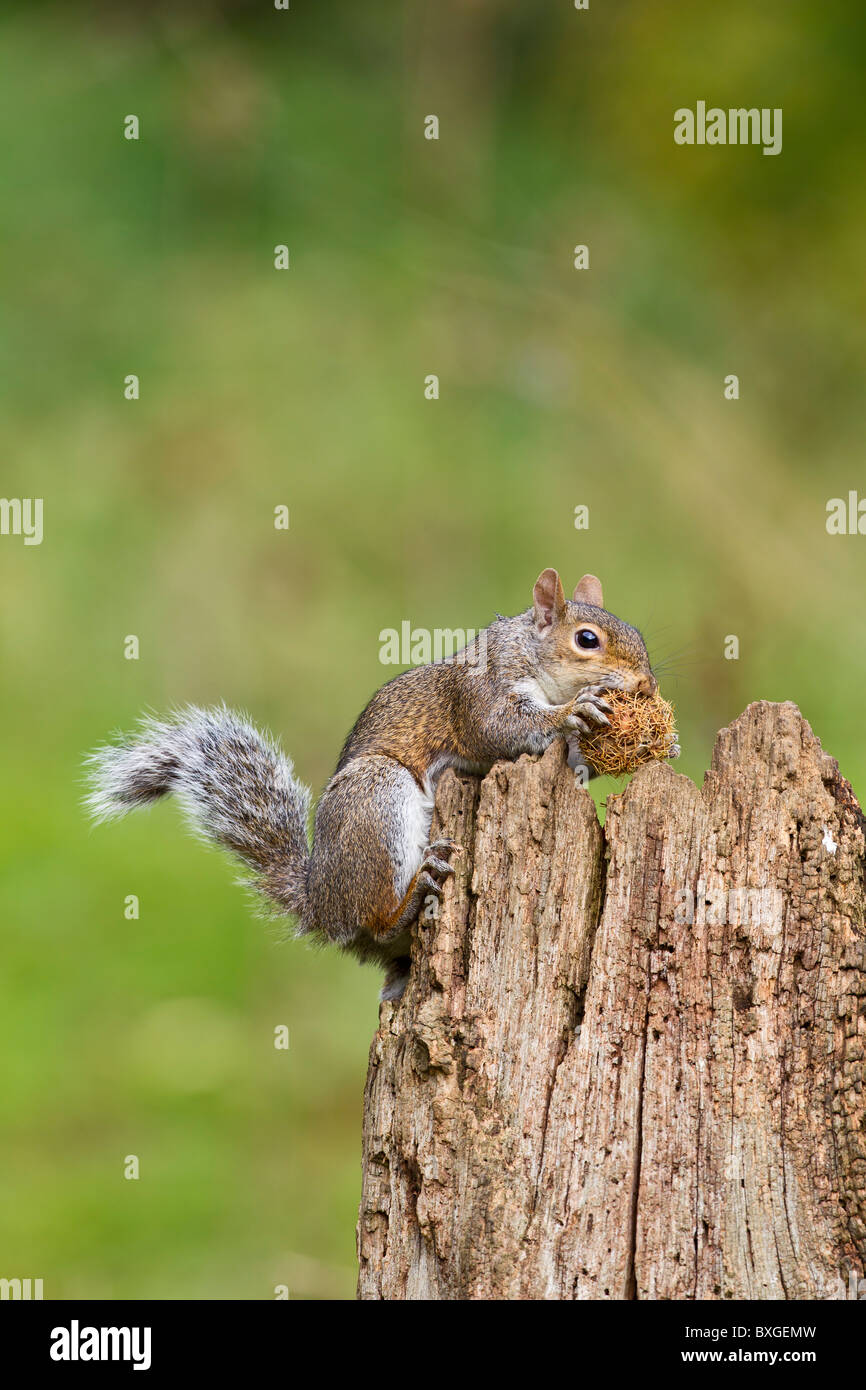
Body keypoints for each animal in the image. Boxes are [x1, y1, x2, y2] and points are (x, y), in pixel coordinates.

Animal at [84, 572, 661, 1000]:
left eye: (640, 635)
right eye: (586, 640)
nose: (646, 685)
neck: (527, 655)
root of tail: (321, 904)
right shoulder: (477, 694)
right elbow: (502, 730)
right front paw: (575, 712)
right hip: (378, 797)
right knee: (378, 919)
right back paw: (412, 894)